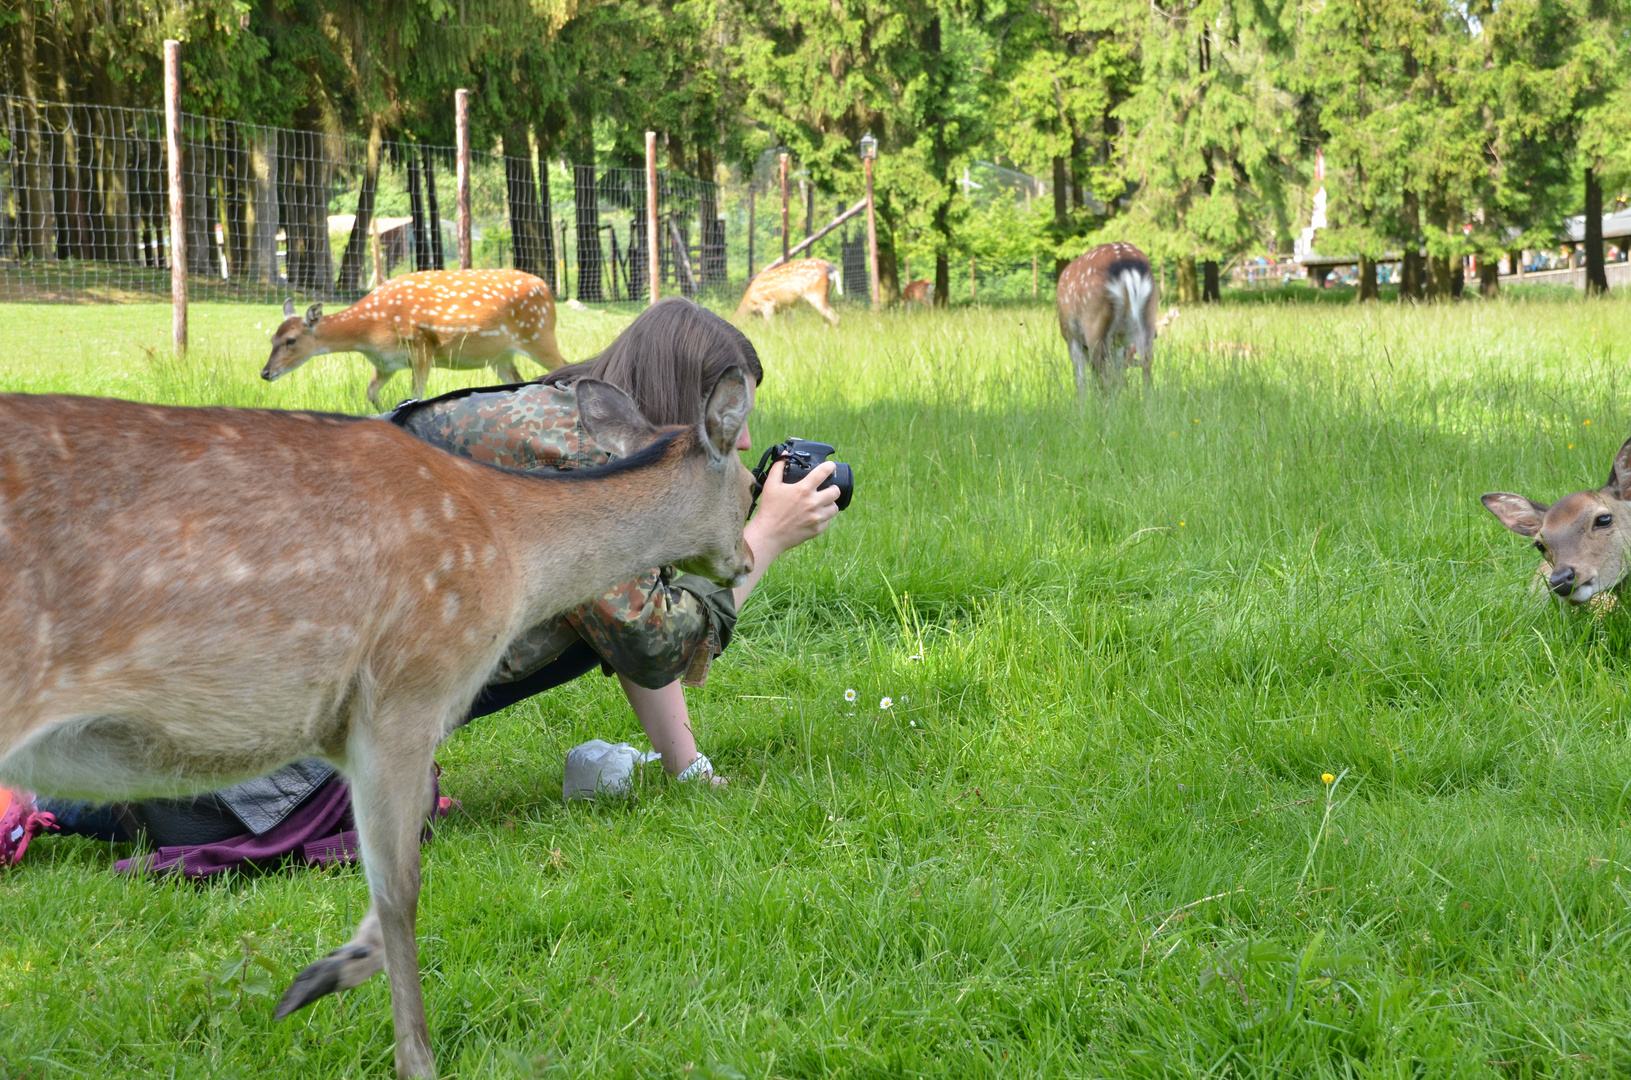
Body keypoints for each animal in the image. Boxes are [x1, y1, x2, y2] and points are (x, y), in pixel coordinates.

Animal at [0, 375, 756, 1080]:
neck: (513, 557)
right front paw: (415, 1058)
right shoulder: (407, 691)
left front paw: (318, 976)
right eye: (749, 485)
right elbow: (402, 890)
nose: (747, 560)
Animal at [264, 269, 570, 406]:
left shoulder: (422, 347)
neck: (369, 332)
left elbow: (417, 394)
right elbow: (371, 392)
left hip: (539, 334)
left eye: (291, 340)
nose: (265, 373)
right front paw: (385, 410)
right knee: (519, 380)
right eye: (272, 339)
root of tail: (547, 290)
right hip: (501, 356)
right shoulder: (385, 363)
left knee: (564, 365)